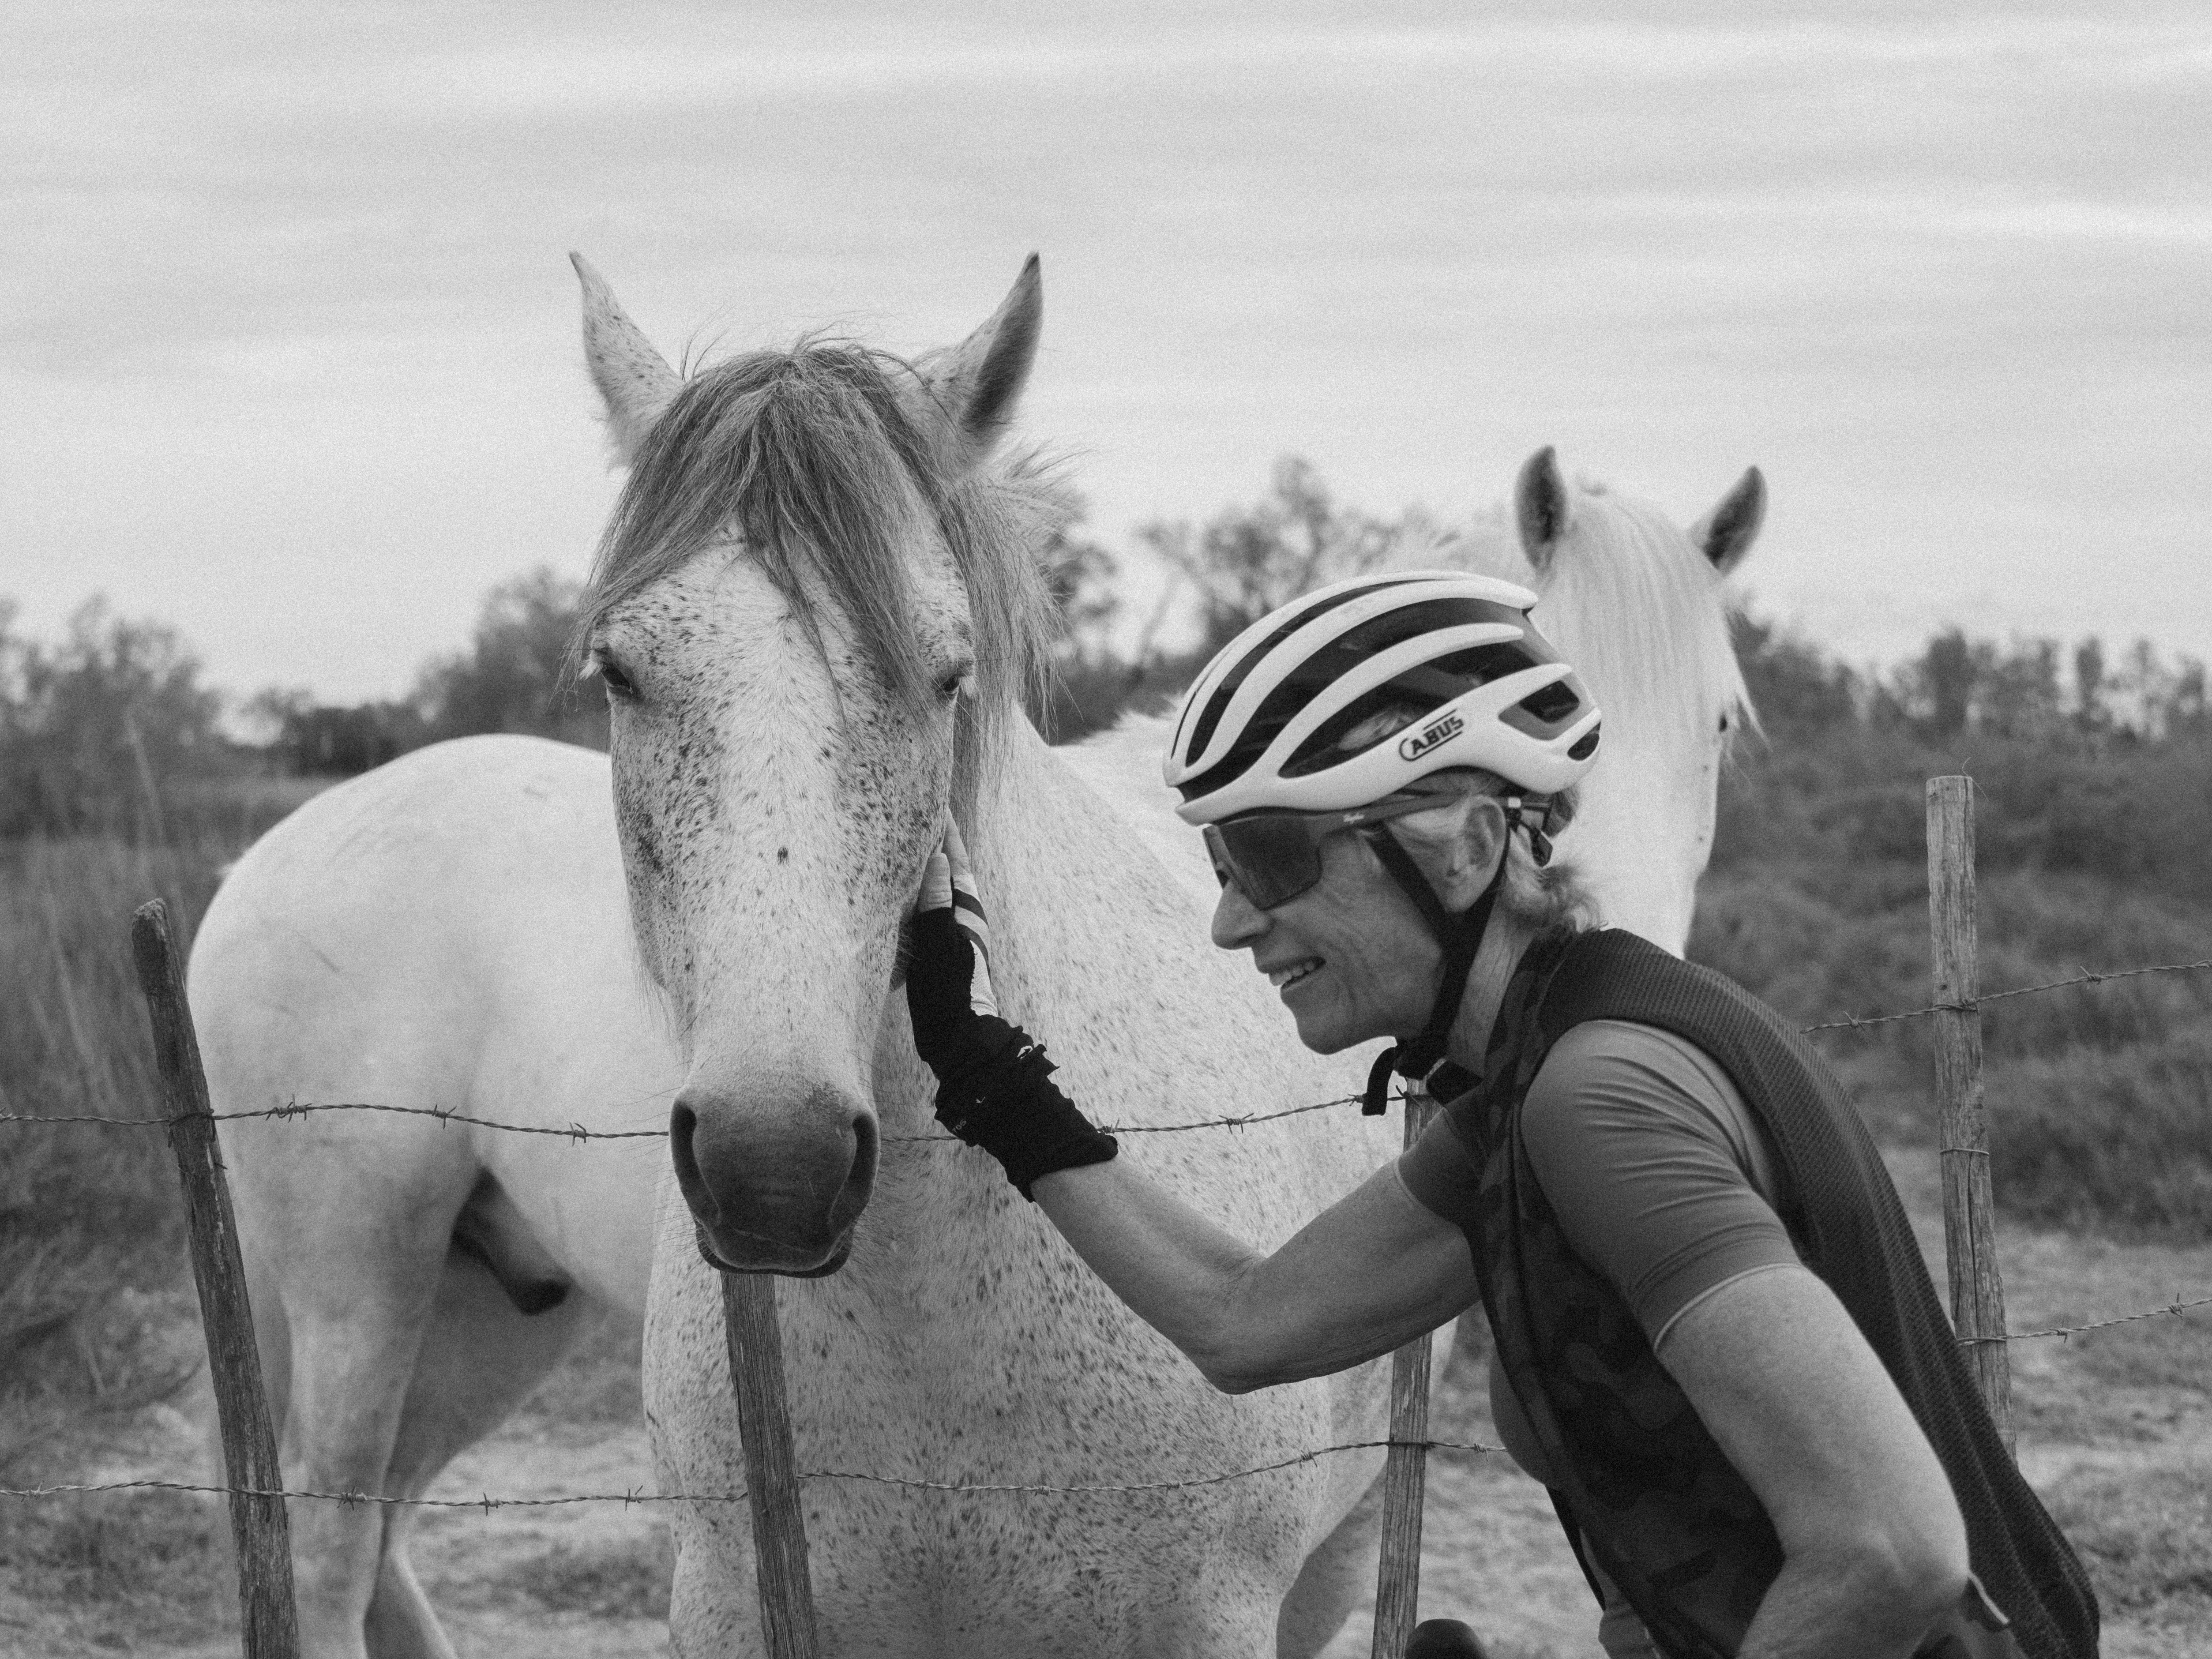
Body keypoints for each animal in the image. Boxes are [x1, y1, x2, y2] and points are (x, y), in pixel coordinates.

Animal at [186, 254, 1761, 1659]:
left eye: (947, 671)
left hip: (484, 1310)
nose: (772, 1166)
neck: (937, 1308)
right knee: (332, 1546)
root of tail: (268, 854)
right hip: (359, 1290)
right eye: (620, 671)